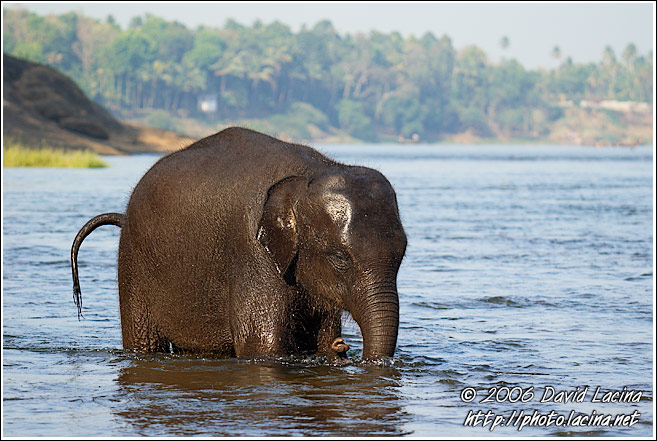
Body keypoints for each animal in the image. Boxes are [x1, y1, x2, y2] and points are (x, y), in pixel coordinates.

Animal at [71, 127, 407, 363]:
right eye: (339, 258)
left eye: (402, 255)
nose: (345, 345)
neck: (309, 175)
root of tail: (124, 217)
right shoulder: (251, 251)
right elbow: (261, 346)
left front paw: (331, 350)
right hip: (133, 261)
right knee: (145, 342)